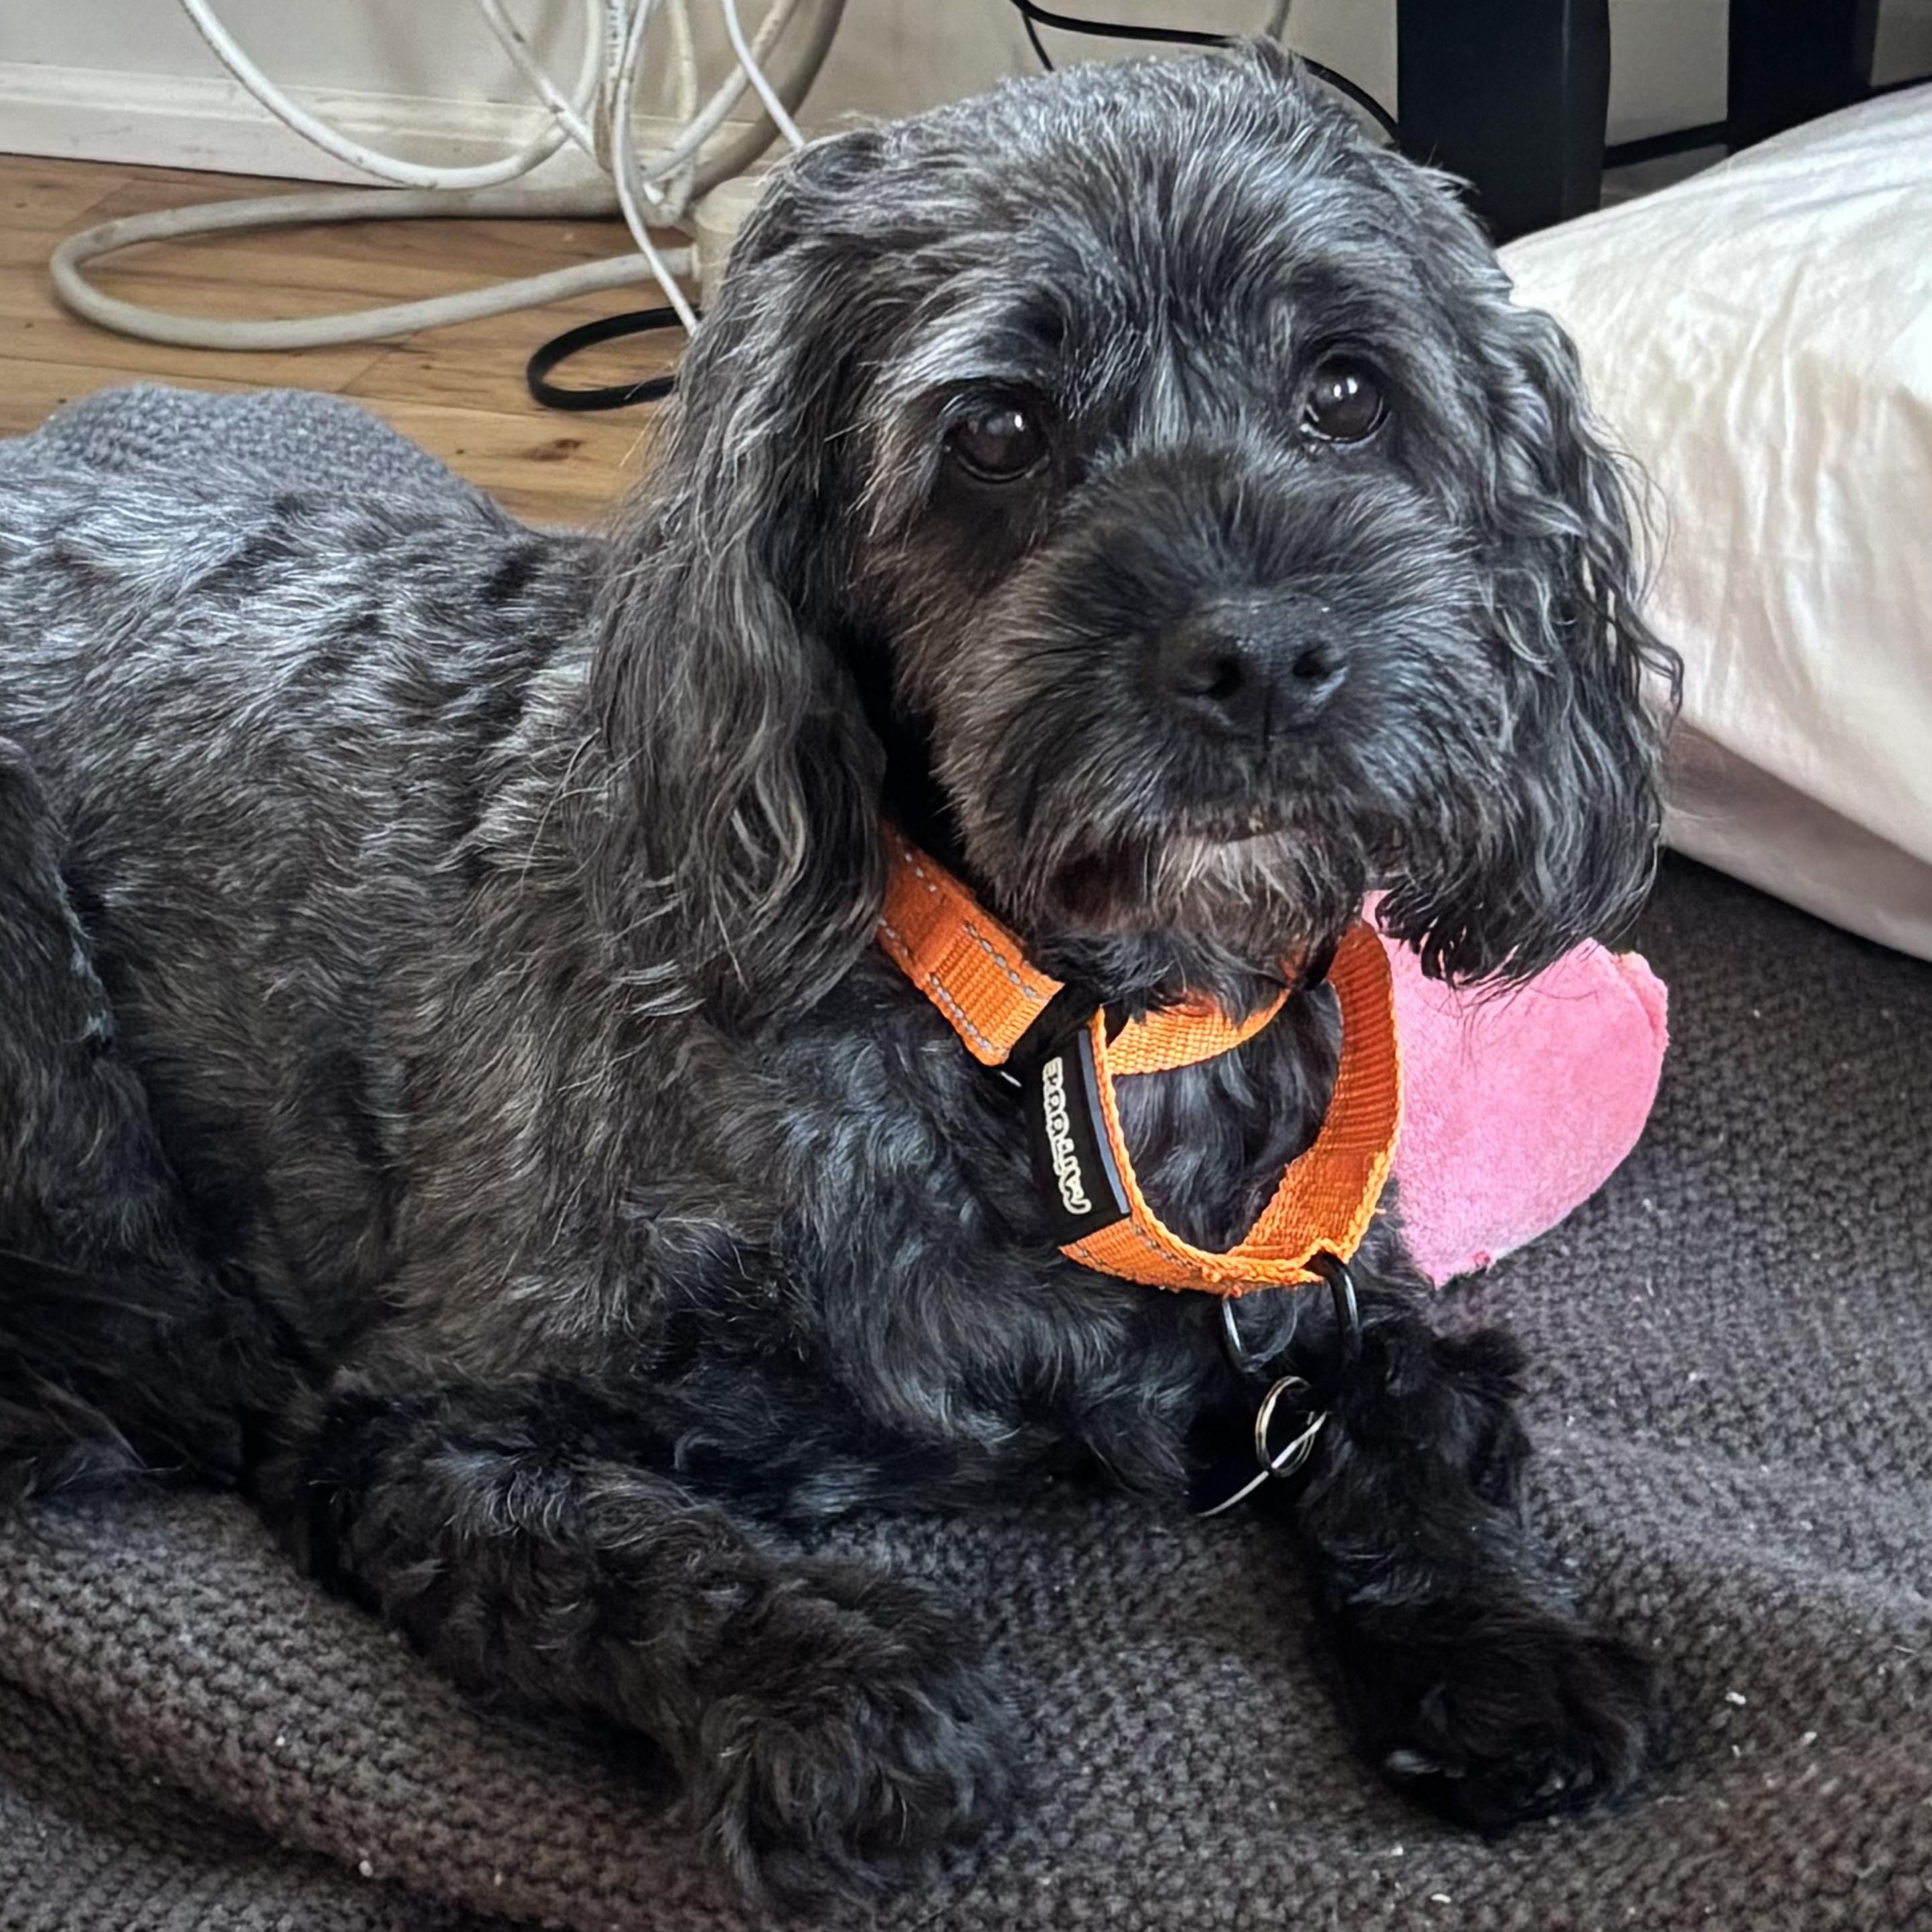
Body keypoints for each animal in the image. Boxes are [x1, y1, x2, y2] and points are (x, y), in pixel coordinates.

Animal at [0, 41, 1677, 1908]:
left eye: (1348, 393)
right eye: (998, 429)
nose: (1262, 659)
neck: (1056, 1033)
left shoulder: (1332, 1302)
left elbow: (1420, 1426)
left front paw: (1507, 1654)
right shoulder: (417, 1427)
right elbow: (644, 1555)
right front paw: (860, 1700)